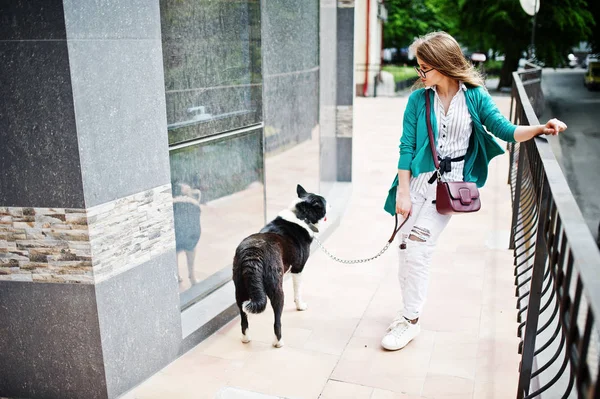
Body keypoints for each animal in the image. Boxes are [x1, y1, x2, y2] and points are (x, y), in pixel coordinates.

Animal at [232, 186, 328, 348]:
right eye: (324, 203)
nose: (331, 205)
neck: (301, 215)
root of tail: (253, 252)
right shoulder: (298, 269)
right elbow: (298, 292)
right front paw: (300, 306)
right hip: (276, 289)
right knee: (277, 321)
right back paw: (279, 342)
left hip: (240, 290)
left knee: (243, 319)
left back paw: (246, 338)